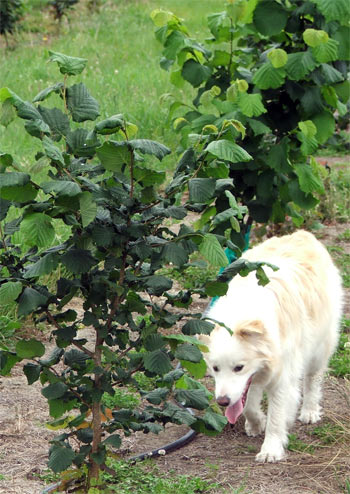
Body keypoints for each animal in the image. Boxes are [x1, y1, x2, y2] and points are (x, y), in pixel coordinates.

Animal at [201, 232, 344, 464]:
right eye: (215, 368)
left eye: (238, 367)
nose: (222, 402)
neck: (243, 311)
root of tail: (302, 234)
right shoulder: (251, 380)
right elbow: (248, 405)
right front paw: (257, 422)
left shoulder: (282, 377)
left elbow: (276, 417)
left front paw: (271, 449)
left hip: (320, 347)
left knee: (312, 379)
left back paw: (310, 411)